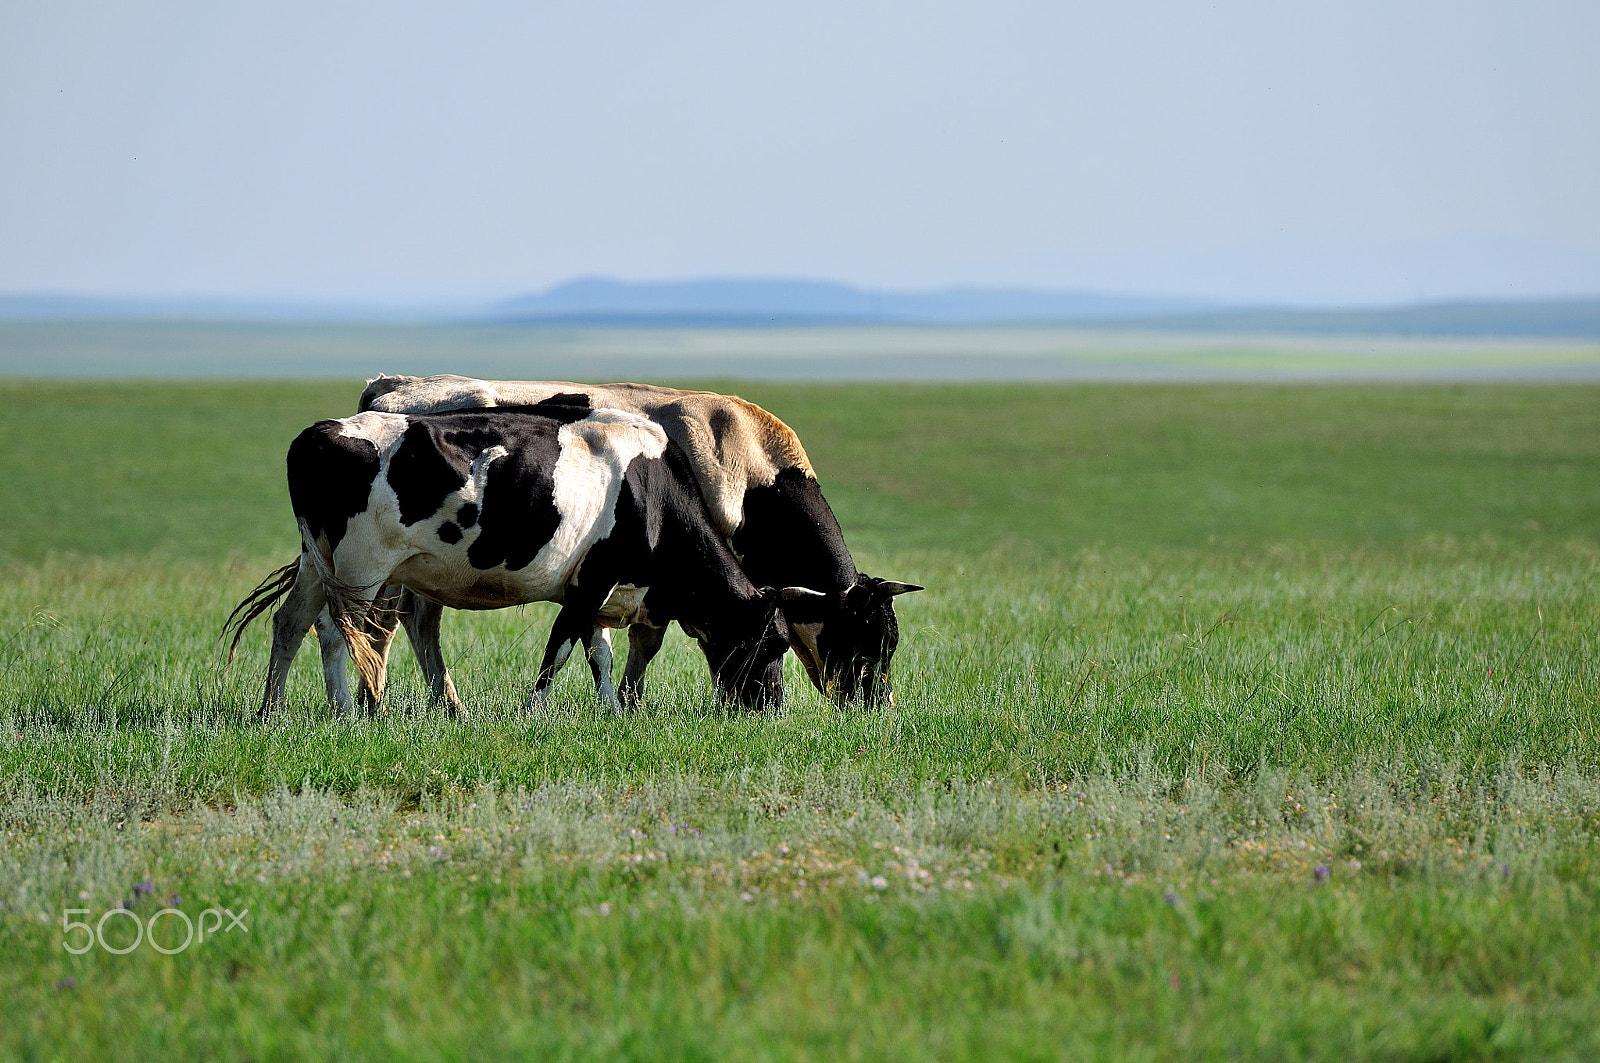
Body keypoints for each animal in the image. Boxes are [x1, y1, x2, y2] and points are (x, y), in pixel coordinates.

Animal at [227, 404, 797, 713]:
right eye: (773, 645)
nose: (771, 708)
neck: (651, 489)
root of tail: (319, 431)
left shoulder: (595, 587)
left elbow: (600, 653)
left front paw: (611, 712)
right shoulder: (591, 581)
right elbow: (560, 650)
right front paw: (534, 711)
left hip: (315, 560)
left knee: (290, 622)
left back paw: (270, 711)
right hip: (360, 567)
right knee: (334, 629)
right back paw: (345, 711)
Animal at [312, 375, 922, 711]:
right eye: (869, 640)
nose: (878, 709)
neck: (746, 469)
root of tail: (392, 387)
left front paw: (624, 703)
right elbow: (644, 641)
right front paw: (629, 704)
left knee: (399, 622)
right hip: (390, 561)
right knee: (391, 624)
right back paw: (398, 703)